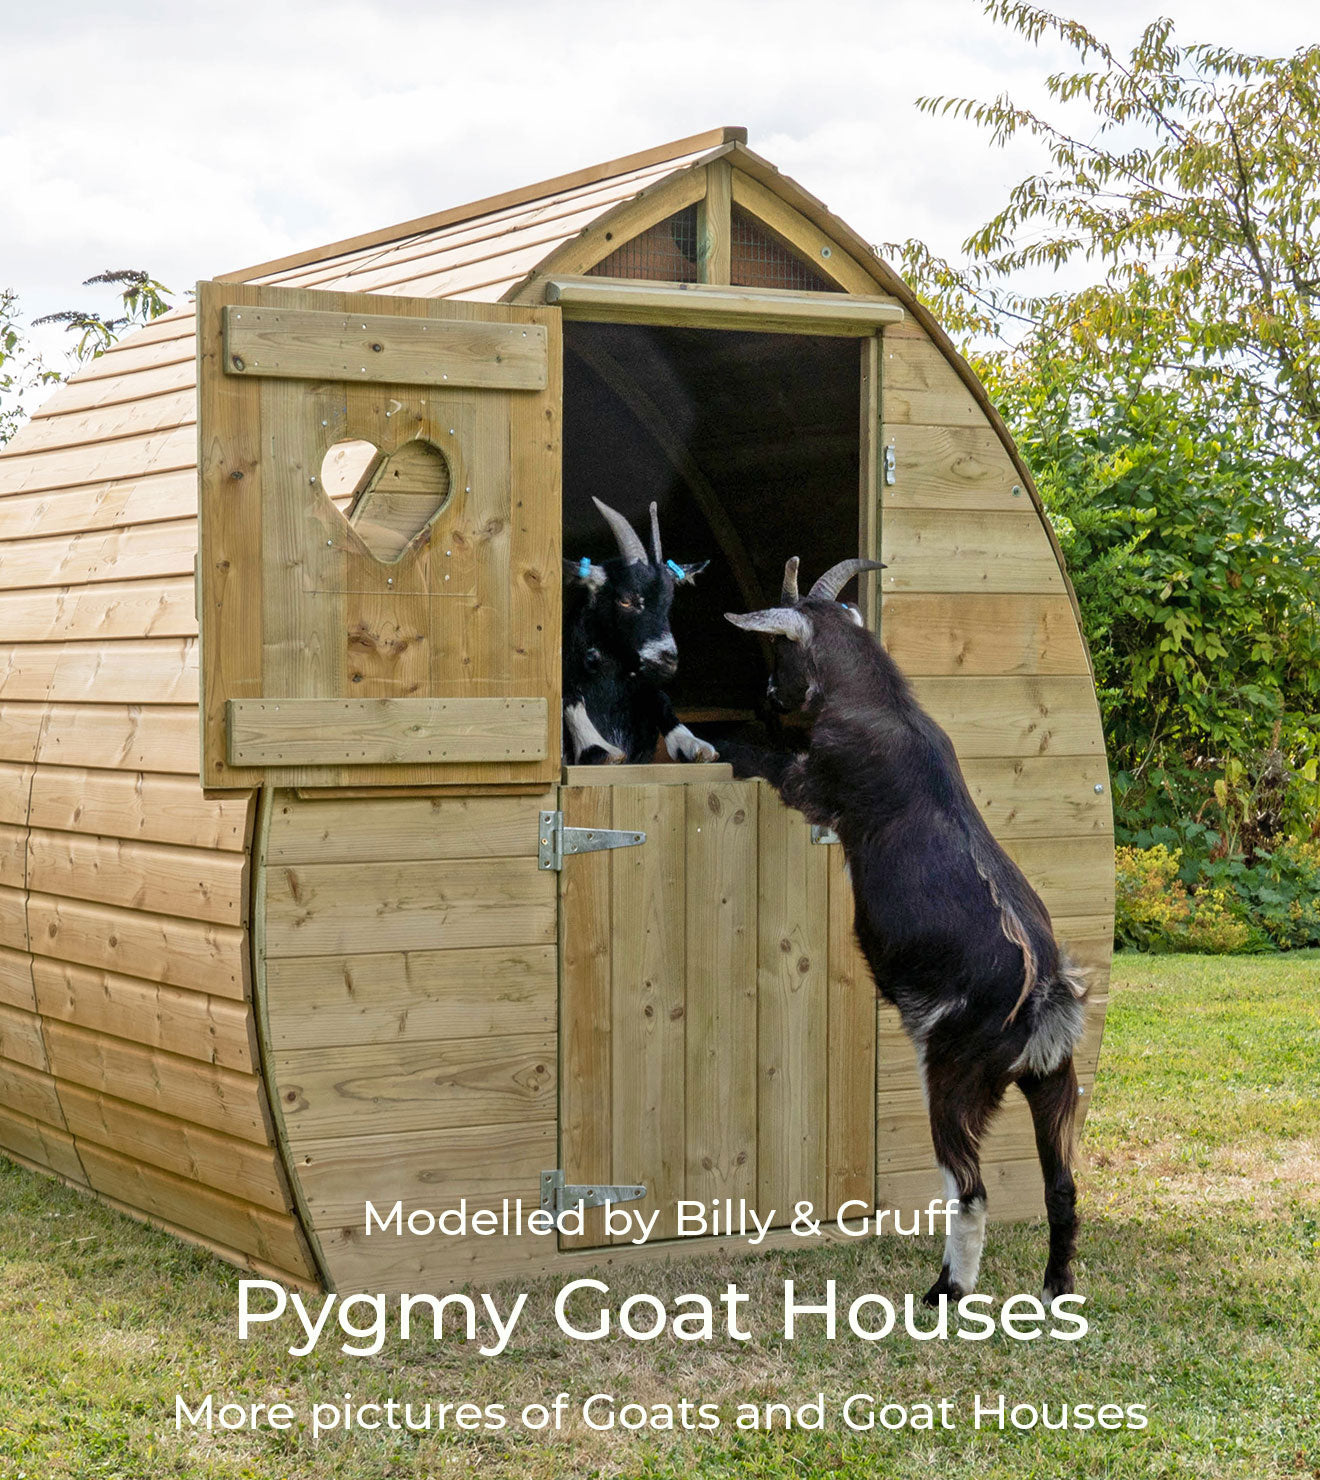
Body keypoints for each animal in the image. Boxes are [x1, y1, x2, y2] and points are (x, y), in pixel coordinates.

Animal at [562, 497, 715, 765]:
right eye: (625, 600)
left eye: (669, 601)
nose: (668, 658)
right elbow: (568, 696)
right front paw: (598, 747)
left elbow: (660, 697)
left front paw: (694, 744)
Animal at [723, 555, 1088, 1304]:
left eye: (780, 652)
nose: (770, 695)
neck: (882, 706)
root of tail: (1044, 1005)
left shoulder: (812, 785)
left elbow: (765, 761)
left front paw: (707, 738)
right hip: (1054, 1085)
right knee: (1062, 1188)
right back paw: (1054, 1291)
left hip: (951, 1077)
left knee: (971, 1192)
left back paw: (946, 1291)